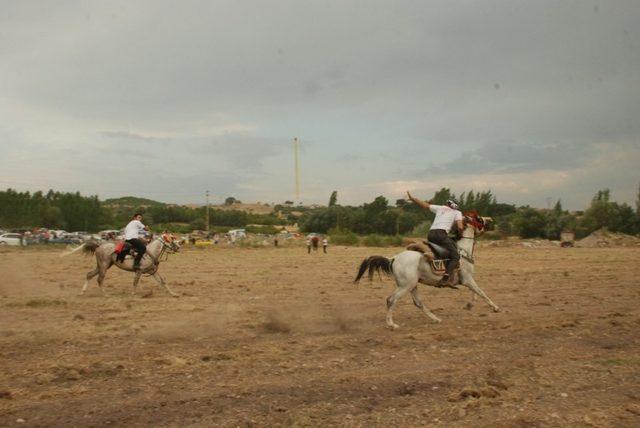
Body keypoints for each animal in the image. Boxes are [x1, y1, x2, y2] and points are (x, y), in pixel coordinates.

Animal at [356, 212, 500, 330]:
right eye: (479, 218)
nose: (491, 219)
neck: (463, 251)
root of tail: (394, 258)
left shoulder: (466, 280)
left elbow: (475, 293)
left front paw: (469, 305)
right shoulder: (467, 279)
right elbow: (481, 292)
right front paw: (495, 308)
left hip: (412, 285)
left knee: (418, 303)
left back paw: (436, 319)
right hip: (406, 286)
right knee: (391, 300)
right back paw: (392, 324)